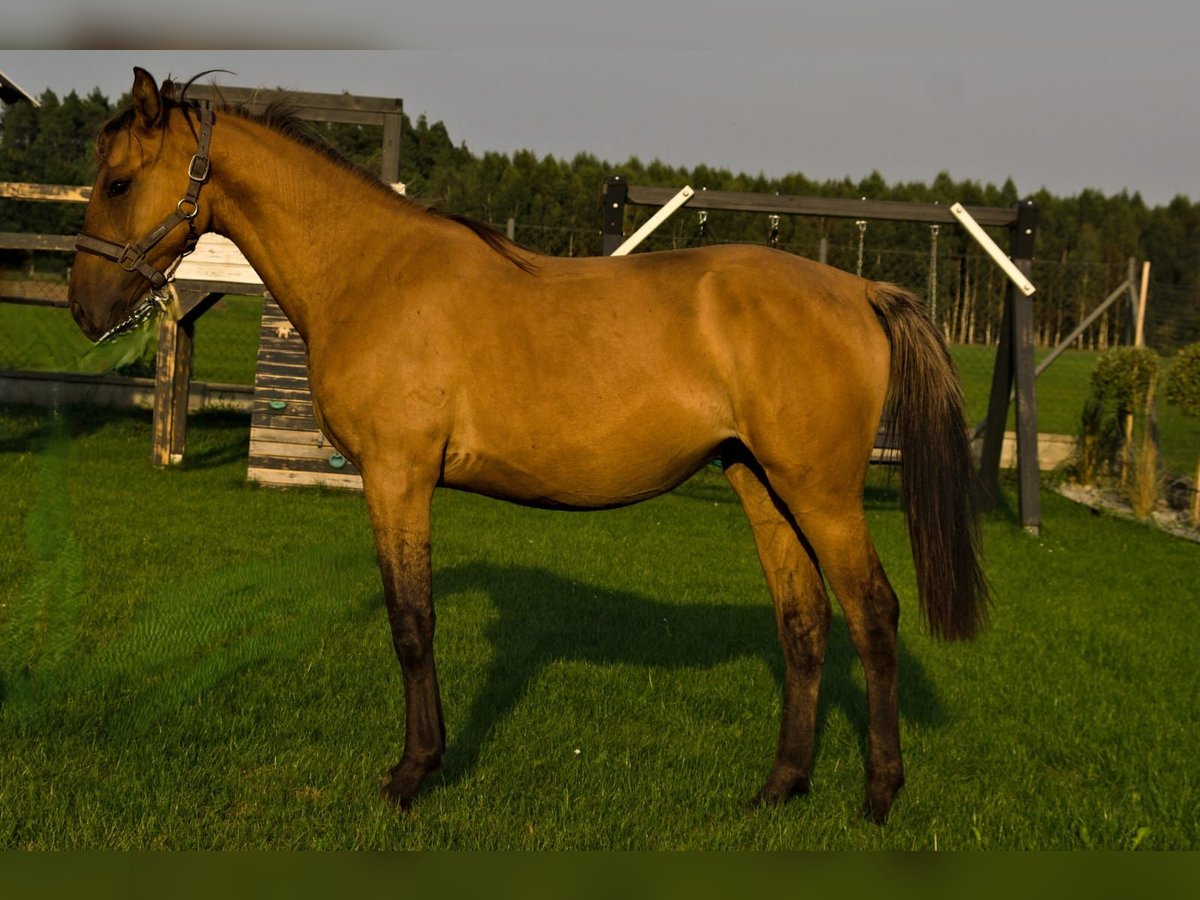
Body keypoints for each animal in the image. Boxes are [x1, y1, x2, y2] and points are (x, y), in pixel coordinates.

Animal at [68, 68, 984, 825]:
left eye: (119, 182)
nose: (84, 307)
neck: (371, 270)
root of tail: (859, 289)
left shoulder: (398, 477)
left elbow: (412, 622)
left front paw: (413, 773)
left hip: (819, 493)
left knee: (873, 615)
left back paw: (879, 794)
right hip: (763, 484)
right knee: (804, 623)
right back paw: (781, 786)